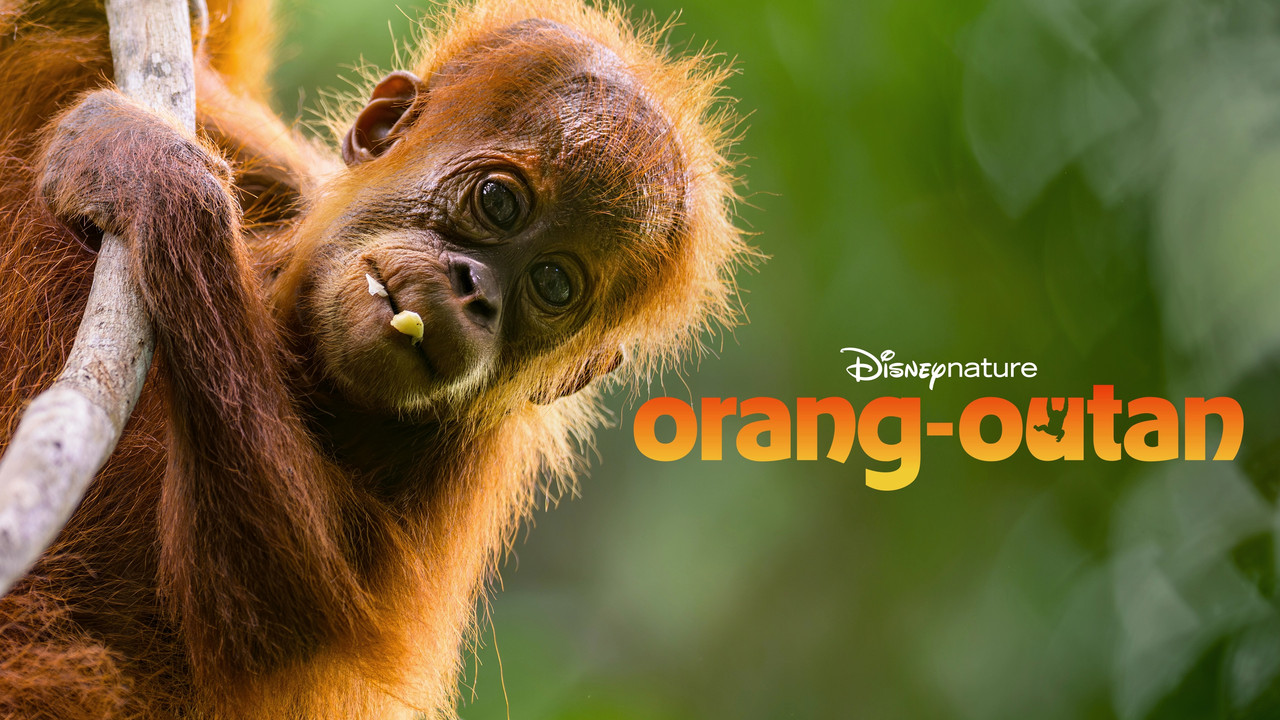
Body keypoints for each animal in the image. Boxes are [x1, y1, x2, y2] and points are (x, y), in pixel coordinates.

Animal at [0, 0, 750, 718]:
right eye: (499, 201)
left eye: (554, 284)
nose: (476, 293)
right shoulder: (280, 177)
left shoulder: (456, 472)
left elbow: (270, 614)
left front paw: (152, 177)